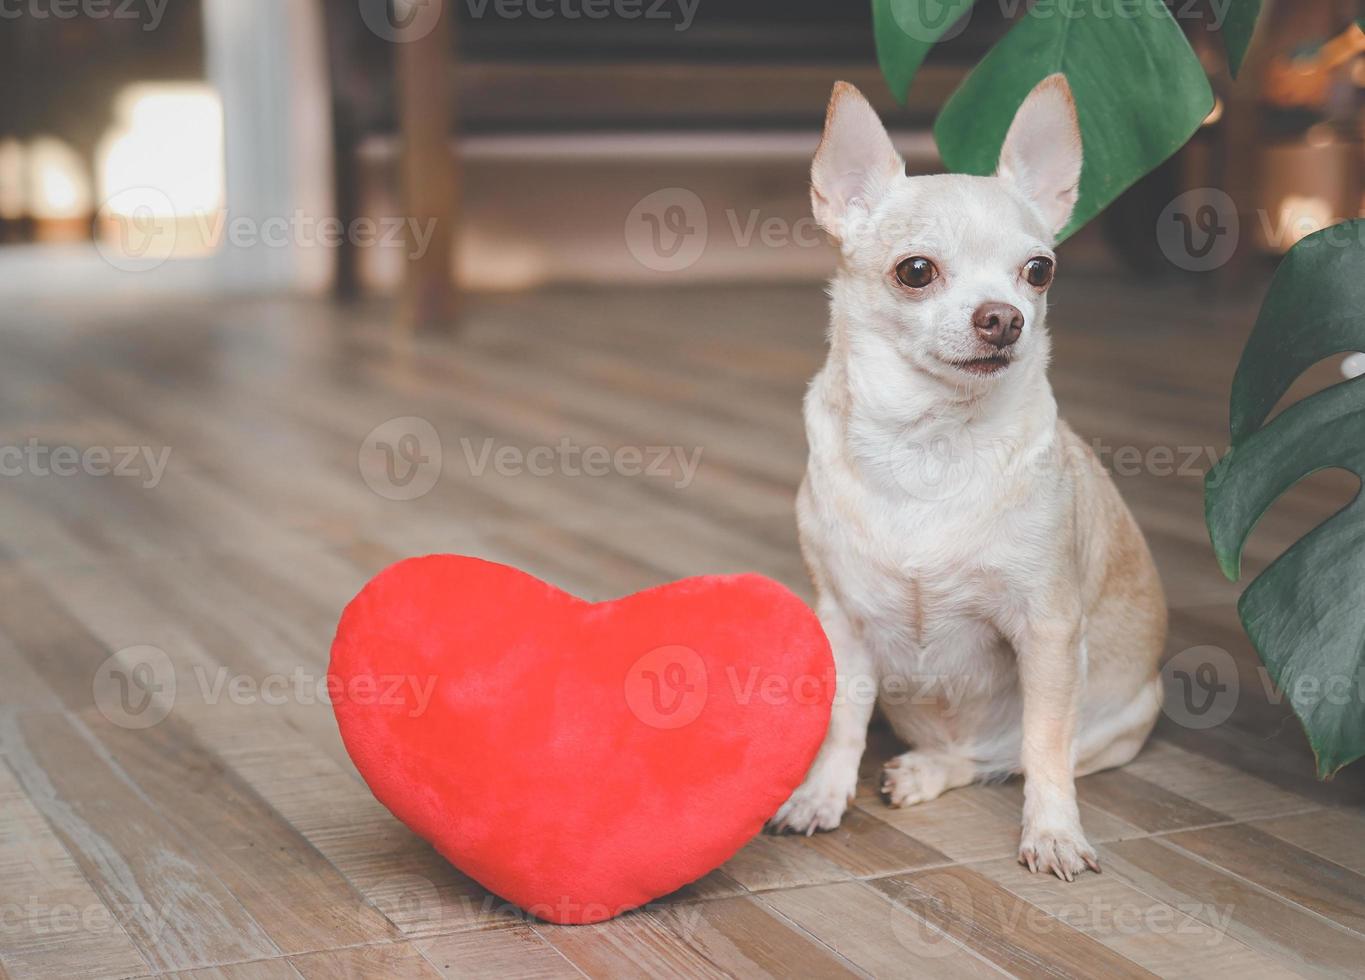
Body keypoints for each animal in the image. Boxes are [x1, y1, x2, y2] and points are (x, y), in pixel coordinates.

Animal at [775, 73, 1168, 878]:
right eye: (916, 271)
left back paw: (934, 770)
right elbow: (840, 721)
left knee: (1010, 756)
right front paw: (820, 795)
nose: (1004, 317)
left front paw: (1052, 834)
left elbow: (1043, 750)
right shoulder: (843, 621)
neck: (930, 443)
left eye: (1039, 270)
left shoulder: (1047, 630)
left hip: (1116, 721)